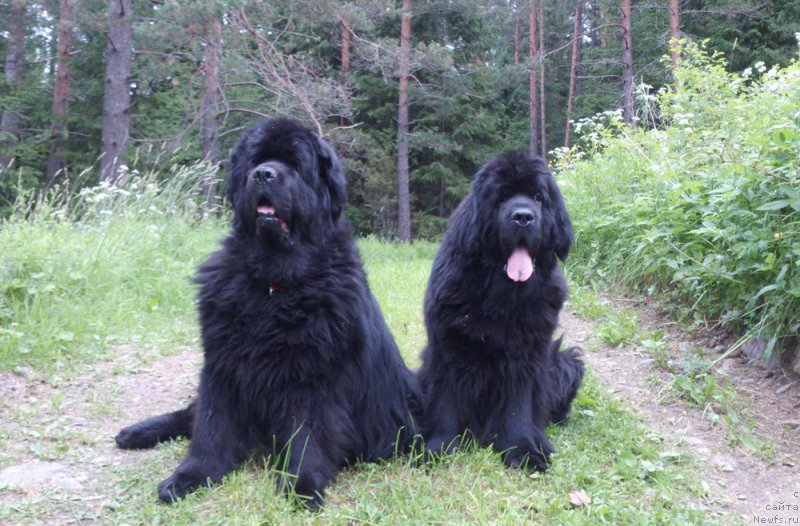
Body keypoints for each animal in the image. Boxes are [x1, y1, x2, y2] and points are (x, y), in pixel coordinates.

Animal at [117, 120, 424, 512]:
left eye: (294, 164)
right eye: (256, 160)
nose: (263, 174)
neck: (273, 284)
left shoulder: (313, 378)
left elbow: (307, 435)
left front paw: (303, 485)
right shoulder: (222, 364)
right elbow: (210, 427)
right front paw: (191, 475)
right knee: (189, 415)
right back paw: (137, 431)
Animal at [422, 151, 584, 472]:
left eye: (538, 198)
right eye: (502, 198)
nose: (522, 216)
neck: (502, 296)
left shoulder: (525, 356)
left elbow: (517, 409)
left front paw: (524, 449)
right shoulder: (447, 348)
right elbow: (445, 402)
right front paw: (440, 447)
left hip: (567, 363)